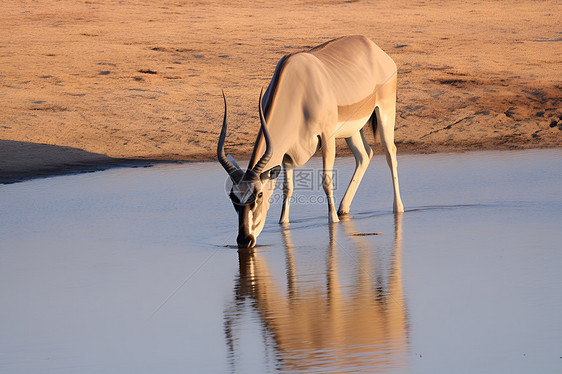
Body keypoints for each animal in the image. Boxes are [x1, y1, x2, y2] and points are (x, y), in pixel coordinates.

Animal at [217, 35, 404, 248]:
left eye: (258, 194)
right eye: (233, 196)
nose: (244, 240)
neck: (298, 87)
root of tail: (372, 46)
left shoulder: (327, 137)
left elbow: (326, 181)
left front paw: (333, 220)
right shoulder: (287, 154)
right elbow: (288, 188)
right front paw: (283, 223)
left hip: (384, 114)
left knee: (390, 154)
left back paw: (397, 208)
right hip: (352, 131)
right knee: (365, 155)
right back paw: (343, 209)